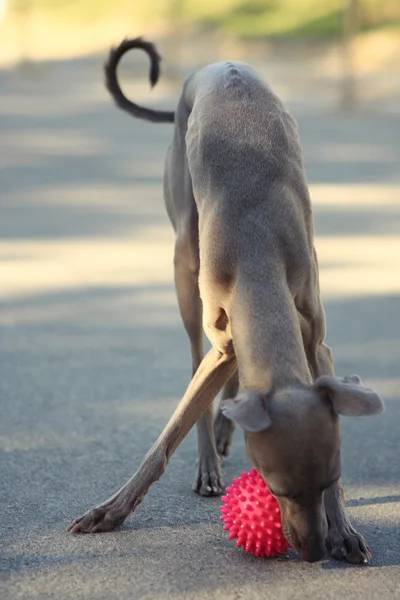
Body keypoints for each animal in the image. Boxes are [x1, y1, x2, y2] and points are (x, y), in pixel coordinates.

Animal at [67, 37, 382, 564]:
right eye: (276, 487)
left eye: (331, 478)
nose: (314, 551)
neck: (260, 254)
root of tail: (213, 67)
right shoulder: (220, 334)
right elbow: (168, 434)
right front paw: (110, 511)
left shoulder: (315, 338)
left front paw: (344, 530)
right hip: (185, 263)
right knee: (197, 356)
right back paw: (209, 462)